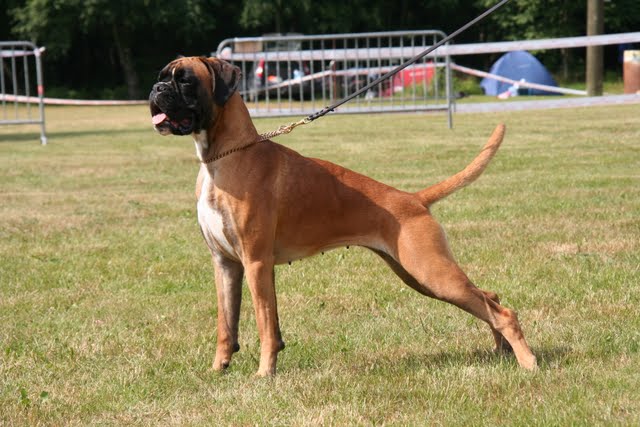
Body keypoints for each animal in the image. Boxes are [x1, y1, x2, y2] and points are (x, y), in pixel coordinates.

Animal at [149, 56, 537, 376]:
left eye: (185, 81)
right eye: (162, 76)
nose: (156, 88)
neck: (224, 156)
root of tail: (414, 199)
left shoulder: (256, 263)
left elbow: (264, 324)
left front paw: (263, 375)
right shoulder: (226, 264)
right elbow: (226, 324)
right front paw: (218, 369)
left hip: (432, 272)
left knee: (502, 312)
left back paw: (528, 362)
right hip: (419, 275)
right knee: (490, 297)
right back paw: (502, 350)